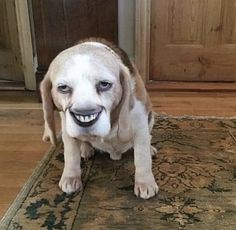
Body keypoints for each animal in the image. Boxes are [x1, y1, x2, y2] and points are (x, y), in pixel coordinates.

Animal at [40, 38, 159, 199]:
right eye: (63, 87)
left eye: (104, 84)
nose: (85, 113)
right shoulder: (67, 130)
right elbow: (70, 155)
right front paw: (71, 178)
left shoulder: (140, 125)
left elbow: (142, 157)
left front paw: (145, 182)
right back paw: (85, 149)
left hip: (151, 118)